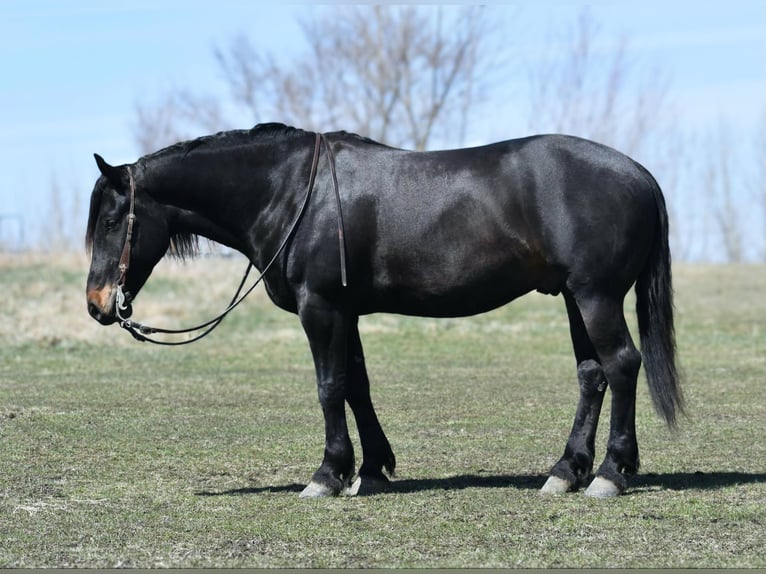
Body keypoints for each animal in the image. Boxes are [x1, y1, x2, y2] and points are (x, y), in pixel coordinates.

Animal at [85, 123, 682, 498]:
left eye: (112, 221)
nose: (97, 305)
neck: (289, 192)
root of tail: (639, 174)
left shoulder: (320, 307)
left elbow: (329, 387)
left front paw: (326, 475)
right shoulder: (344, 312)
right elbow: (356, 385)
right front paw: (369, 470)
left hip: (597, 296)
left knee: (621, 365)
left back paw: (610, 473)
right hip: (574, 299)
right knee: (592, 374)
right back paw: (566, 471)